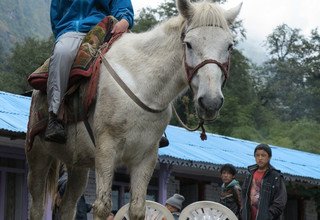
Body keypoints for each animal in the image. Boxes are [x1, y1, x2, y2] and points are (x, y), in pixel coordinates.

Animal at [26, 0, 241, 219]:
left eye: (229, 46)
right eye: (189, 44)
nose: (211, 102)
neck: (140, 83)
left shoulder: (146, 157)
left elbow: (137, 209)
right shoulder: (106, 150)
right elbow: (102, 206)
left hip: (78, 166)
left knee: (68, 207)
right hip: (38, 157)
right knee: (36, 207)